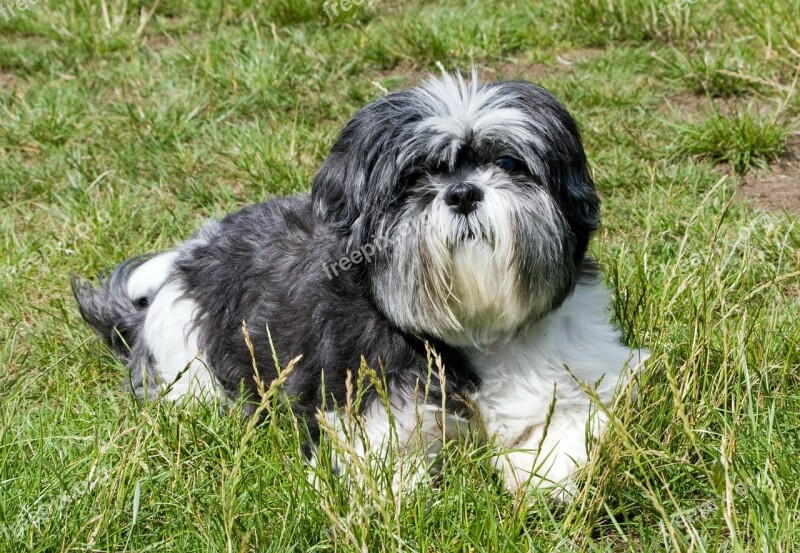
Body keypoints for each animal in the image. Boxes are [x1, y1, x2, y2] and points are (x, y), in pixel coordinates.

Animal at [73, 72, 648, 496]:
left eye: (507, 162)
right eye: (415, 177)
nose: (462, 192)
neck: (475, 328)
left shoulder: (595, 371)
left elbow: (575, 425)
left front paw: (536, 473)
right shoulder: (369, 416)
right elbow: (390, 477)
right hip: (194, 373)